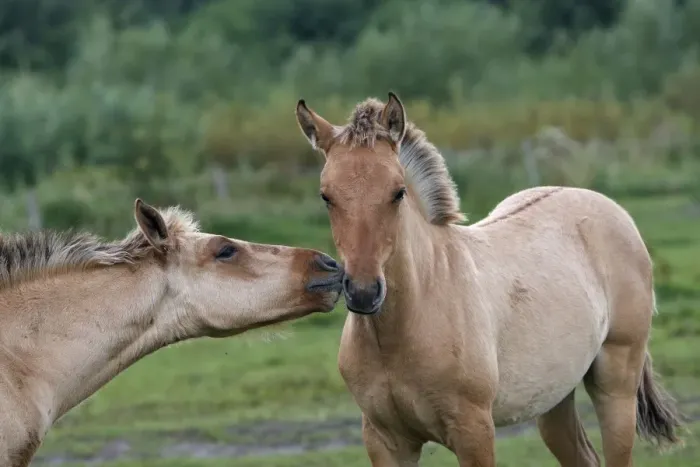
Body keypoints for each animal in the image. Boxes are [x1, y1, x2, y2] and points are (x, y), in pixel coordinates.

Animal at [294, 92, 683, 466]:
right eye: (326, 196)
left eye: (398, 192)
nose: (363, 293)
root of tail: (611, 209)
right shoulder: (385, 441)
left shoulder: (474, 433)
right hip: (553, 397)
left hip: (616, 386)